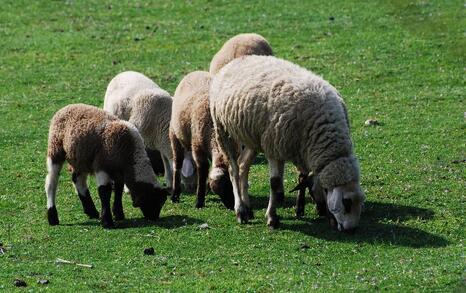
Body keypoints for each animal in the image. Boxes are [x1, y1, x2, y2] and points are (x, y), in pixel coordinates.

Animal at [169, 70, 235, 208]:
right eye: (223, 188)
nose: (232, 206)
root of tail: (195, 71)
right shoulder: (198, 149)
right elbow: (203, 171)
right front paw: (199, 200)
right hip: (174, 135)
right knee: (177, 164)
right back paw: (175, 195)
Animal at [209, 54, 366, 230]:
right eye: (346, 202)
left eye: (362, 201)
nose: (351, 230)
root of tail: (240, 59)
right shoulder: (274, 147)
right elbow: (275, 184)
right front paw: (272, 218)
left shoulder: (297, 149)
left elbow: (301, 179)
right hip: (222, 129)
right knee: (234, 170)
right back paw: (240, 210)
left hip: (253, 137)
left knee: (243, 166)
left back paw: (248, 208)